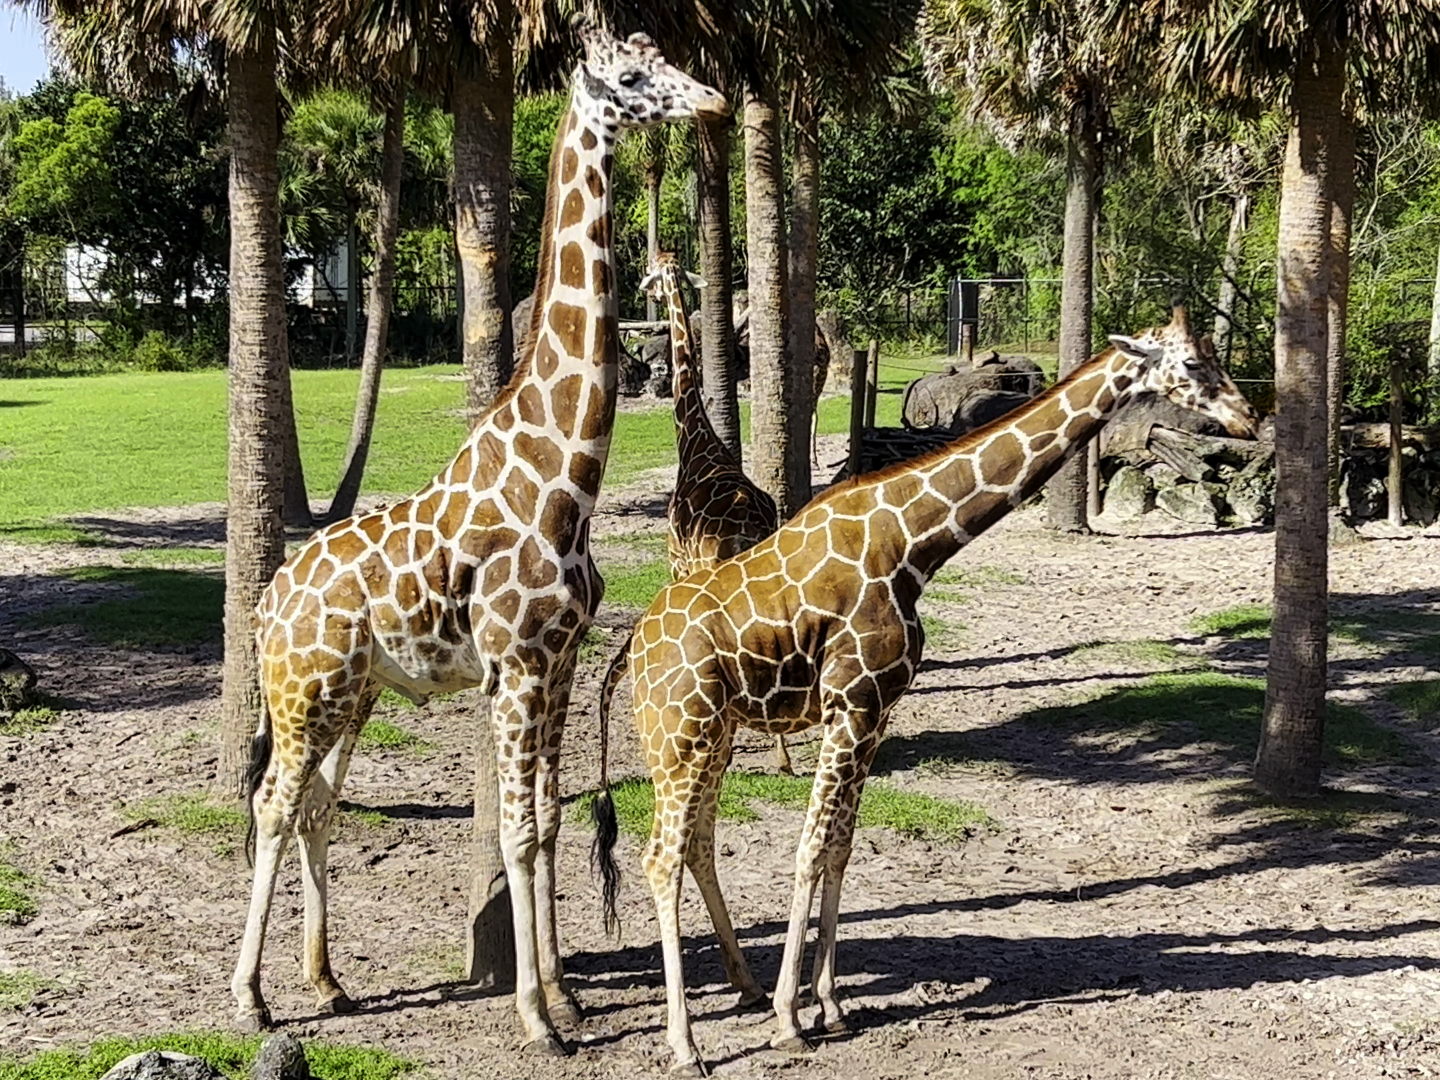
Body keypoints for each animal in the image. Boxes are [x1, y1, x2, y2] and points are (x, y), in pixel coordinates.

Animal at [229, 30, 728, 1056]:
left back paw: (327, 981)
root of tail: (268, 599)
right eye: (631, 77)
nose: (713, 101)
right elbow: (515, 830)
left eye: (666, 55)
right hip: (299, 694)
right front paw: (538, 1017)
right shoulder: (519, 665)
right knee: (271, 802)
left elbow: (543, 821)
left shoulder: (561, 663)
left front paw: (566, 997)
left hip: (353, 696)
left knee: (316, 806)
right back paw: (251, 998)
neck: (563, 475)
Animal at [591, 305, 1259, 1073]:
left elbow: (841, 848)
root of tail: (631, 650)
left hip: (712, 736)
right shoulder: (851, 704)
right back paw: (685, 1044)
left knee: (697, 844)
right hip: (680, 734)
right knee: (659, 857)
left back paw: (744, 989)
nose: (1249, 418)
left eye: (1214, 355)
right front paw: (792, 1019)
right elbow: (809, 849)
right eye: (1192, 365)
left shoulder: (875, 714)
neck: (914, 541)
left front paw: (831, 1006)